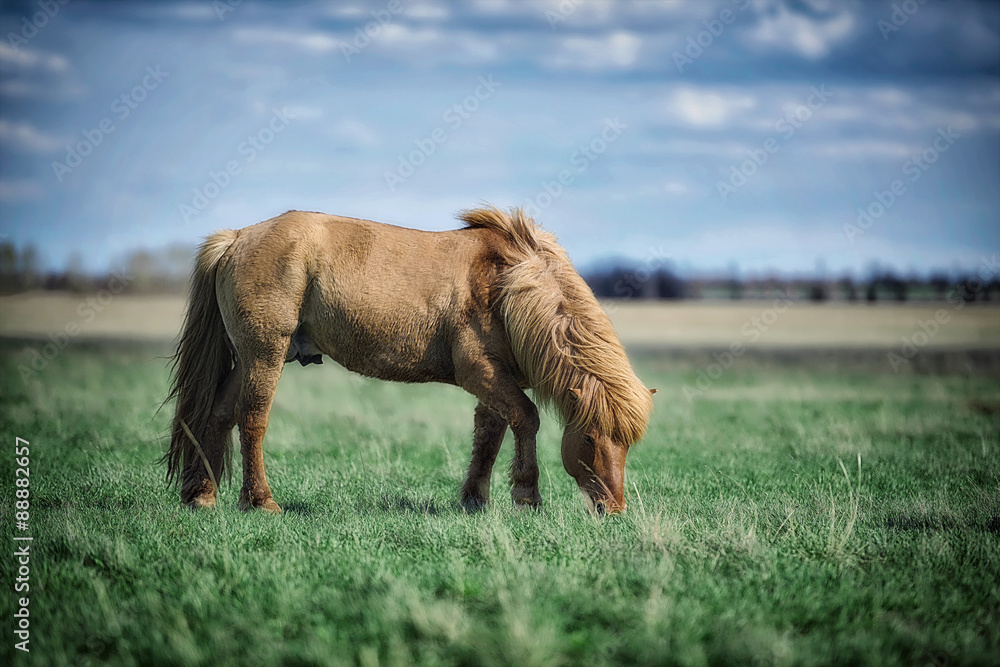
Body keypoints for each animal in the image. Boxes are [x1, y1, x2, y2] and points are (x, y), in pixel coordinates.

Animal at [163, 206, 654, 515]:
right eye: (589, 438)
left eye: (628, 444)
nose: (613, 509)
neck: (508, 283)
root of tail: (237, 238)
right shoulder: (481, 373)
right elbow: (526, 420)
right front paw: (526, 496)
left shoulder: (497, 381)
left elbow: (490, 436)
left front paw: (475, 499)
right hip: (264, 355)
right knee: (252, 420)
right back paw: (261, 501)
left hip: (254, 359)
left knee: (217, 415)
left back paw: (202, 496)